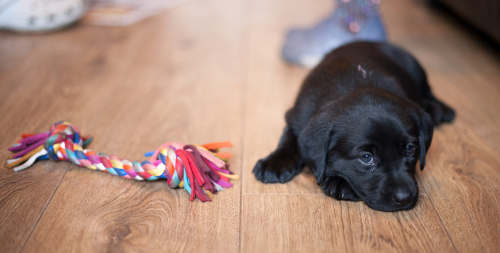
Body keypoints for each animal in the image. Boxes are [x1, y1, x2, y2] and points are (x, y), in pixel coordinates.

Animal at [252, 41, 456, 211]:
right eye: (366, 158)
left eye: (410, 149)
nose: (404, 198)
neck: (356, 83)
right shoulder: (297, 116)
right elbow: (290, 138)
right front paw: (275, 162)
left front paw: (342, 184)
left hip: (416, 69)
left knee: (428, 91)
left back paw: (440, 109)